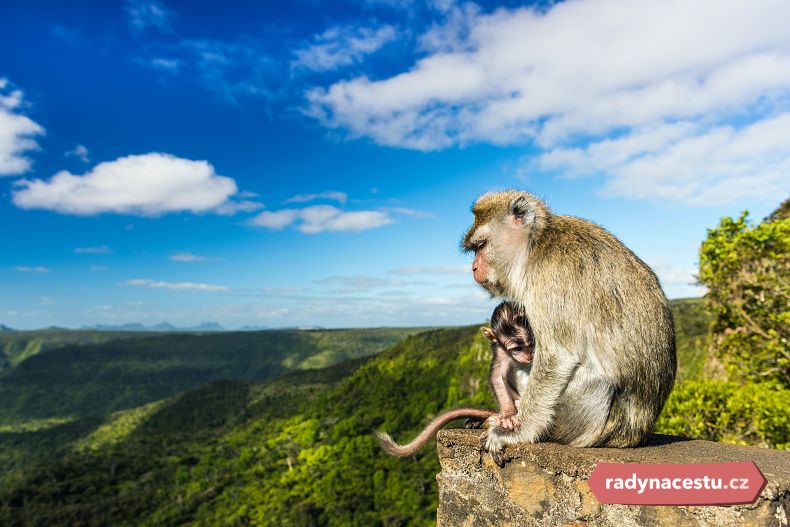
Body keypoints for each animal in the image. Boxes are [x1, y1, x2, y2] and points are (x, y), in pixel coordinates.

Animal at [378, 302, 540, 458]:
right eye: (517, 348)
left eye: (531, 343)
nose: (529, 356)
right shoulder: (501, 350)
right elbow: (497, 376)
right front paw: (507, 415)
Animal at [464, 191, 680, 466]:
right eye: (475, 250)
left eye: (481, 246)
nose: (474, 267)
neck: (536, 245)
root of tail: (631, 437)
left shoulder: (549, 279)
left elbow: (557, 356)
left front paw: (516, 432)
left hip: (585, 424)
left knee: (596, 382)